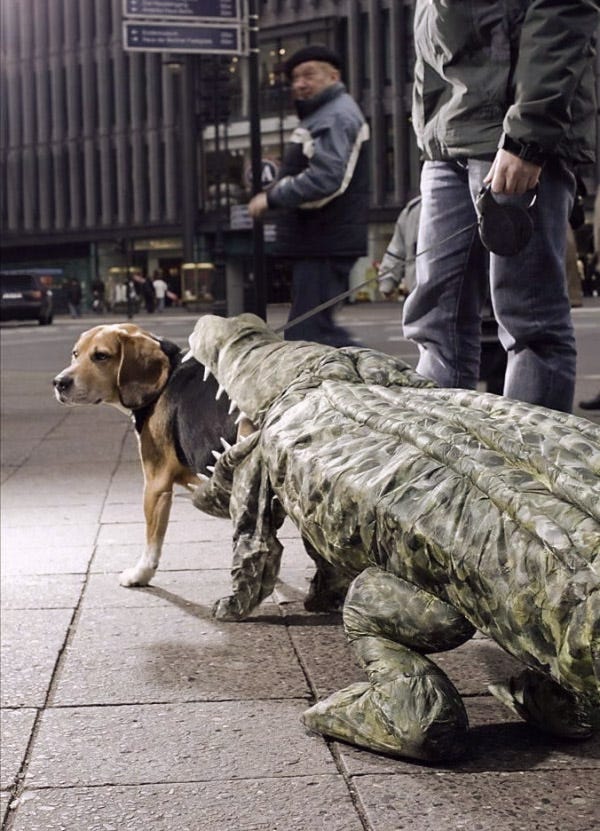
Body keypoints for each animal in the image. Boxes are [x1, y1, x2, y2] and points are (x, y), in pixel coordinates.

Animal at [51, 322, 239, 588]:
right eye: (75, 353)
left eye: (101, 356)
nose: (59, 382)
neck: (166, 378)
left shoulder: (156, 485)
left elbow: (152, 541)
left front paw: (140, 574)